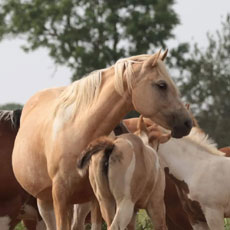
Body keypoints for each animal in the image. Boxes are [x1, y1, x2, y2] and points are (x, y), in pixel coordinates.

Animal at [12, 50, 192, 230]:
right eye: (162, 85)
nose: (187, 123)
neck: (79, 132)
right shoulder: (60, 196)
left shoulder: (95, 199)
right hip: (46, 202)